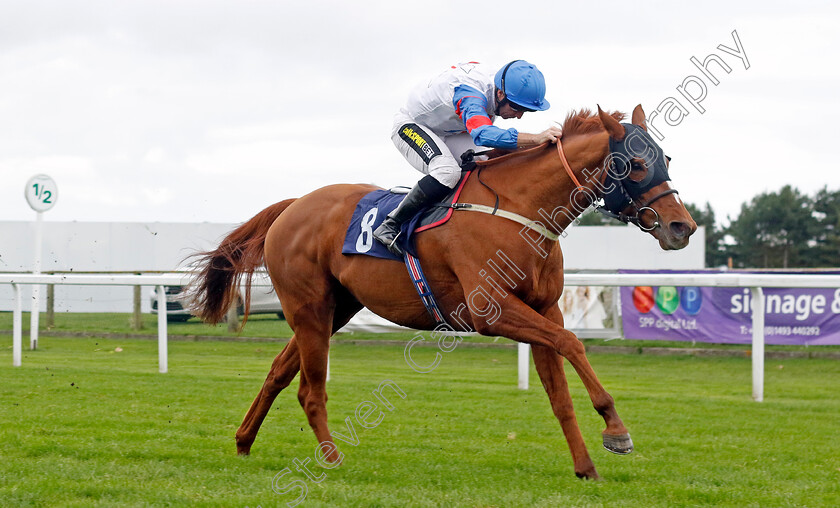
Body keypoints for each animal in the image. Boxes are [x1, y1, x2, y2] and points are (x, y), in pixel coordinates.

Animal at [189, 105, 696, 478]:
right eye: (634, 163)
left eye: (666, 160)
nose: (682, 227)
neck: (520, 209)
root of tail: (294, 205)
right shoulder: (491, 312)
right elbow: (573, 343)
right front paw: (616, 429)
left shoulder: (544, 308)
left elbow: (560, 393)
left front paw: (586, 465)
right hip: (309, 308)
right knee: (310, 391)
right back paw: (331, 458)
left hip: (335, 309)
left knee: (278, 372)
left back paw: (244, 441)